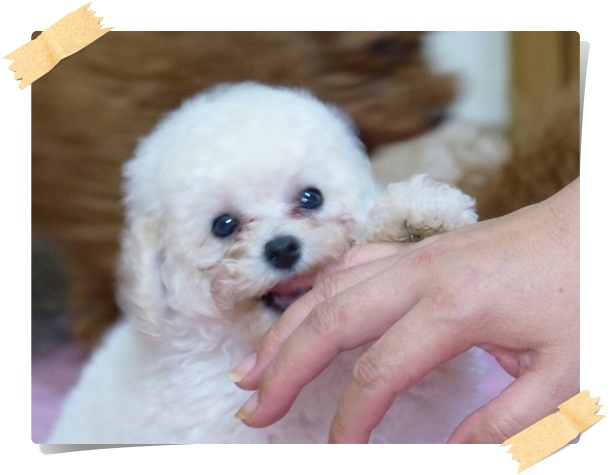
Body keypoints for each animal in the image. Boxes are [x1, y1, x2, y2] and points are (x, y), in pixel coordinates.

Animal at [48, 82, 498, 444]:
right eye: (224, 225)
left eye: (311, 197)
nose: (282, 248)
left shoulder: (418, 400)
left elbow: (434, 365)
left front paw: (417, 217)